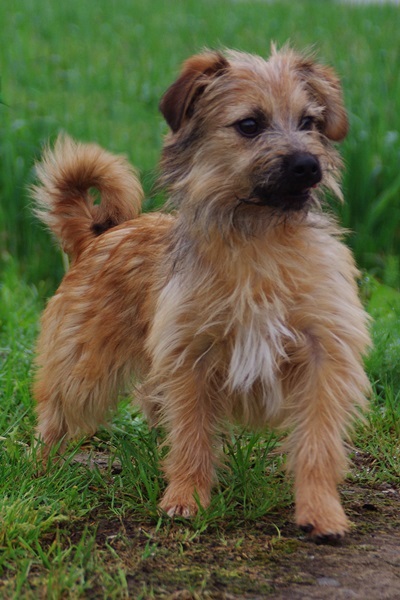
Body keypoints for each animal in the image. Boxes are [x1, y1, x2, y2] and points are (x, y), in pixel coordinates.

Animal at [31, 46, 371, 542]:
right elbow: (191, 436)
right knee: (54, 416)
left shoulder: (322, 355)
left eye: (309, 121)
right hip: (82, 369)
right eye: (249, 124)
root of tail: (99, 235)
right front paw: (186, 499)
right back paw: (38, 471)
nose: (309, 166)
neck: (259, 238)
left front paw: (322, 511)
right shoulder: (191, 357)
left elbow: (317, 441)